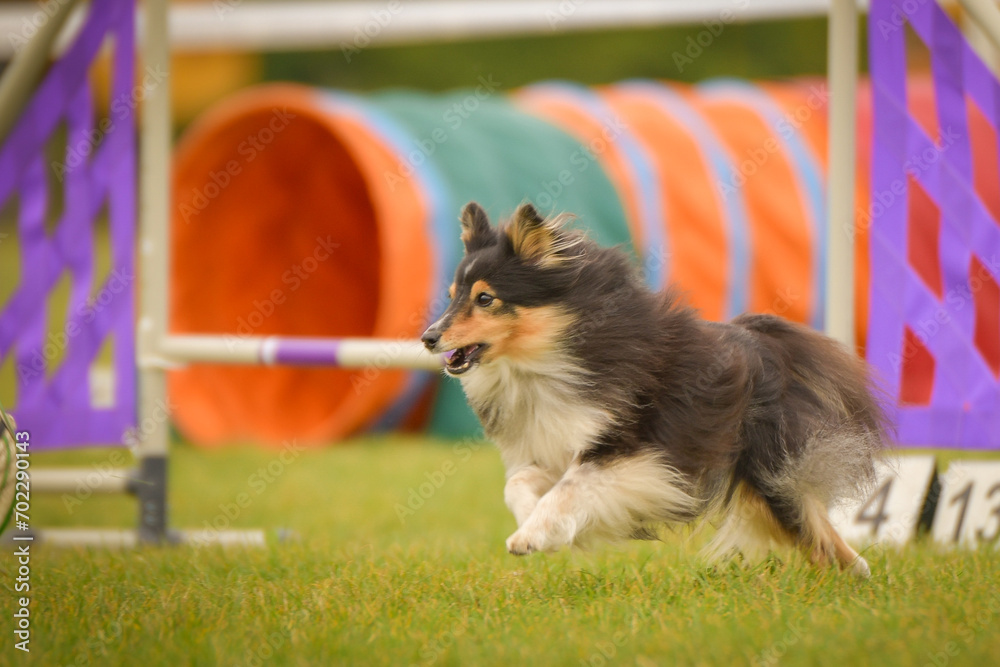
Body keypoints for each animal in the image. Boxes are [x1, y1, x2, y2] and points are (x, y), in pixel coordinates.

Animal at [422, 201, 892, 576]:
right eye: (451, 295)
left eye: (485, 299)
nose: (428, 338)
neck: (543, 363)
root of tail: (764, 344)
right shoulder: (557, 443)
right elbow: (520, 483)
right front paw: (531, 520)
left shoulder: (637, 453)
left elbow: (571, 488)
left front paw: (532, 536)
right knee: (816, 539)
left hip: (771, 473)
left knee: (819, 529)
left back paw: (860, 574)